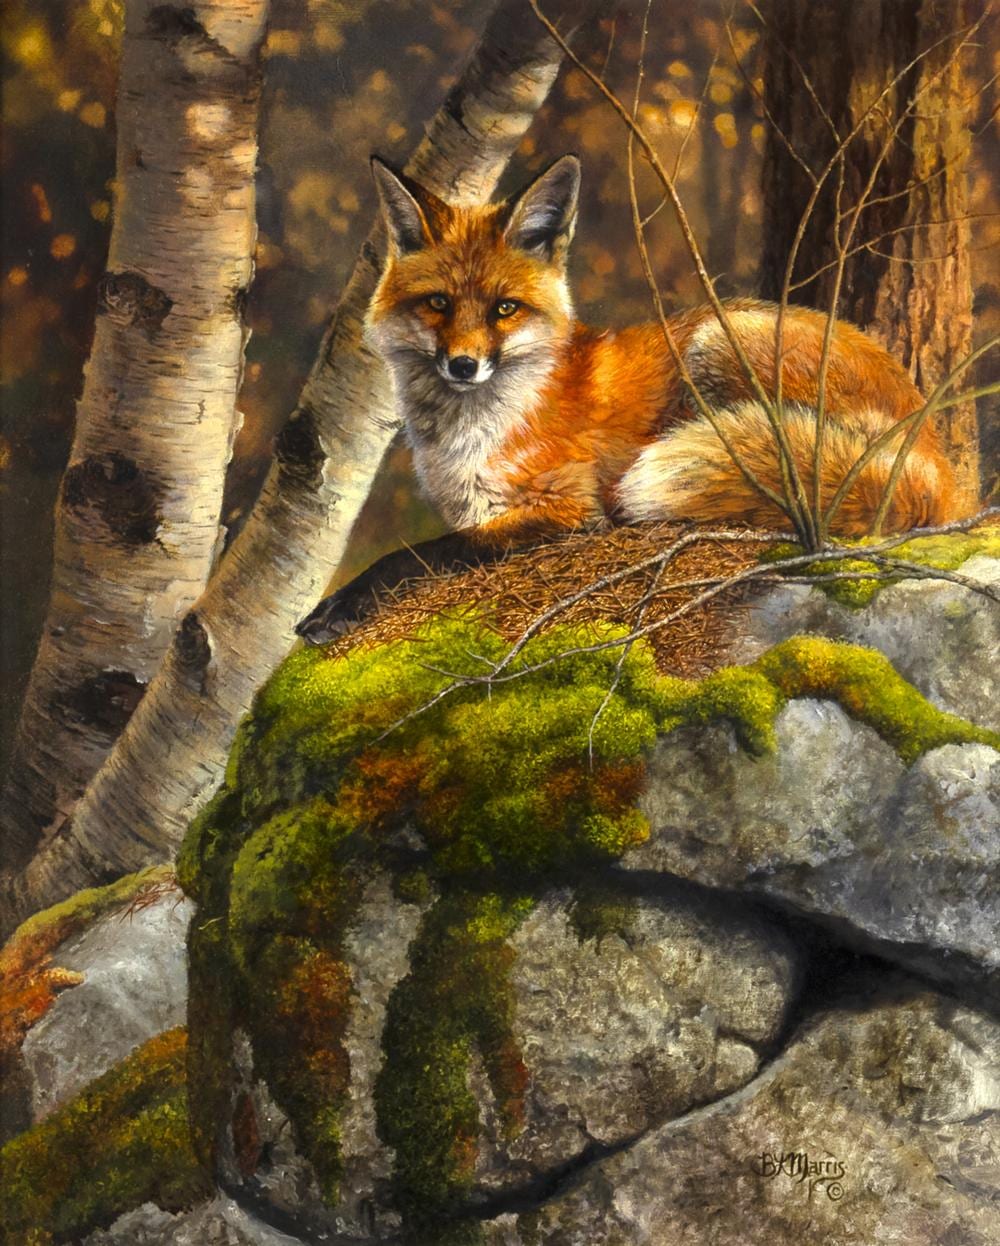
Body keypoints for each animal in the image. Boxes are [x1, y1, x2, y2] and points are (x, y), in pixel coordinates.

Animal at [297, 154, 959, 643]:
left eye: (504, 309)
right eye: (437, 303)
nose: (463, 365)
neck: (470, 433)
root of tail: (936, 459)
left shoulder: (567, 508)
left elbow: (422, 553)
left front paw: (337, 607)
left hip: (719, 341)